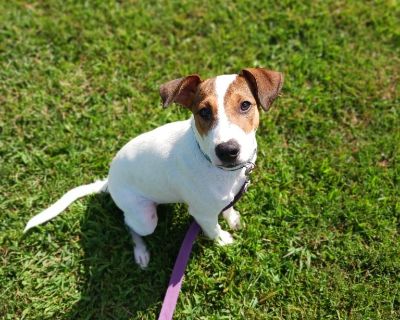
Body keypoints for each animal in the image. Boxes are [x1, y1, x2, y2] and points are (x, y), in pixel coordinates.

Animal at [24, 68, 282, 270]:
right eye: (204, 112)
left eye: (245, 105)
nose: (228, 151)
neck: (212, 163)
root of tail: (109, 181)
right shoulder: (202, 213)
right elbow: (213, 229)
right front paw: (223, 241)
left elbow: (227, 208)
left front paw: (232, 217)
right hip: (145, 219)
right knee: (129, 225)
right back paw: (141, 252)